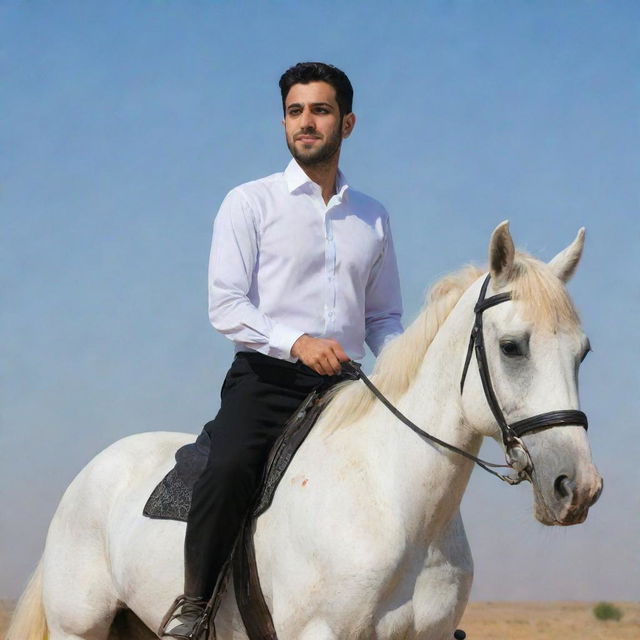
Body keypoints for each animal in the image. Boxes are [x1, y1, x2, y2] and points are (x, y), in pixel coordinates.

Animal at [8, 221, 600, 640]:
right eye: (511, 347)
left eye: (583, 352)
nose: (577, 488)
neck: (393, 502)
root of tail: (92, 472)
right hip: (78, 628)